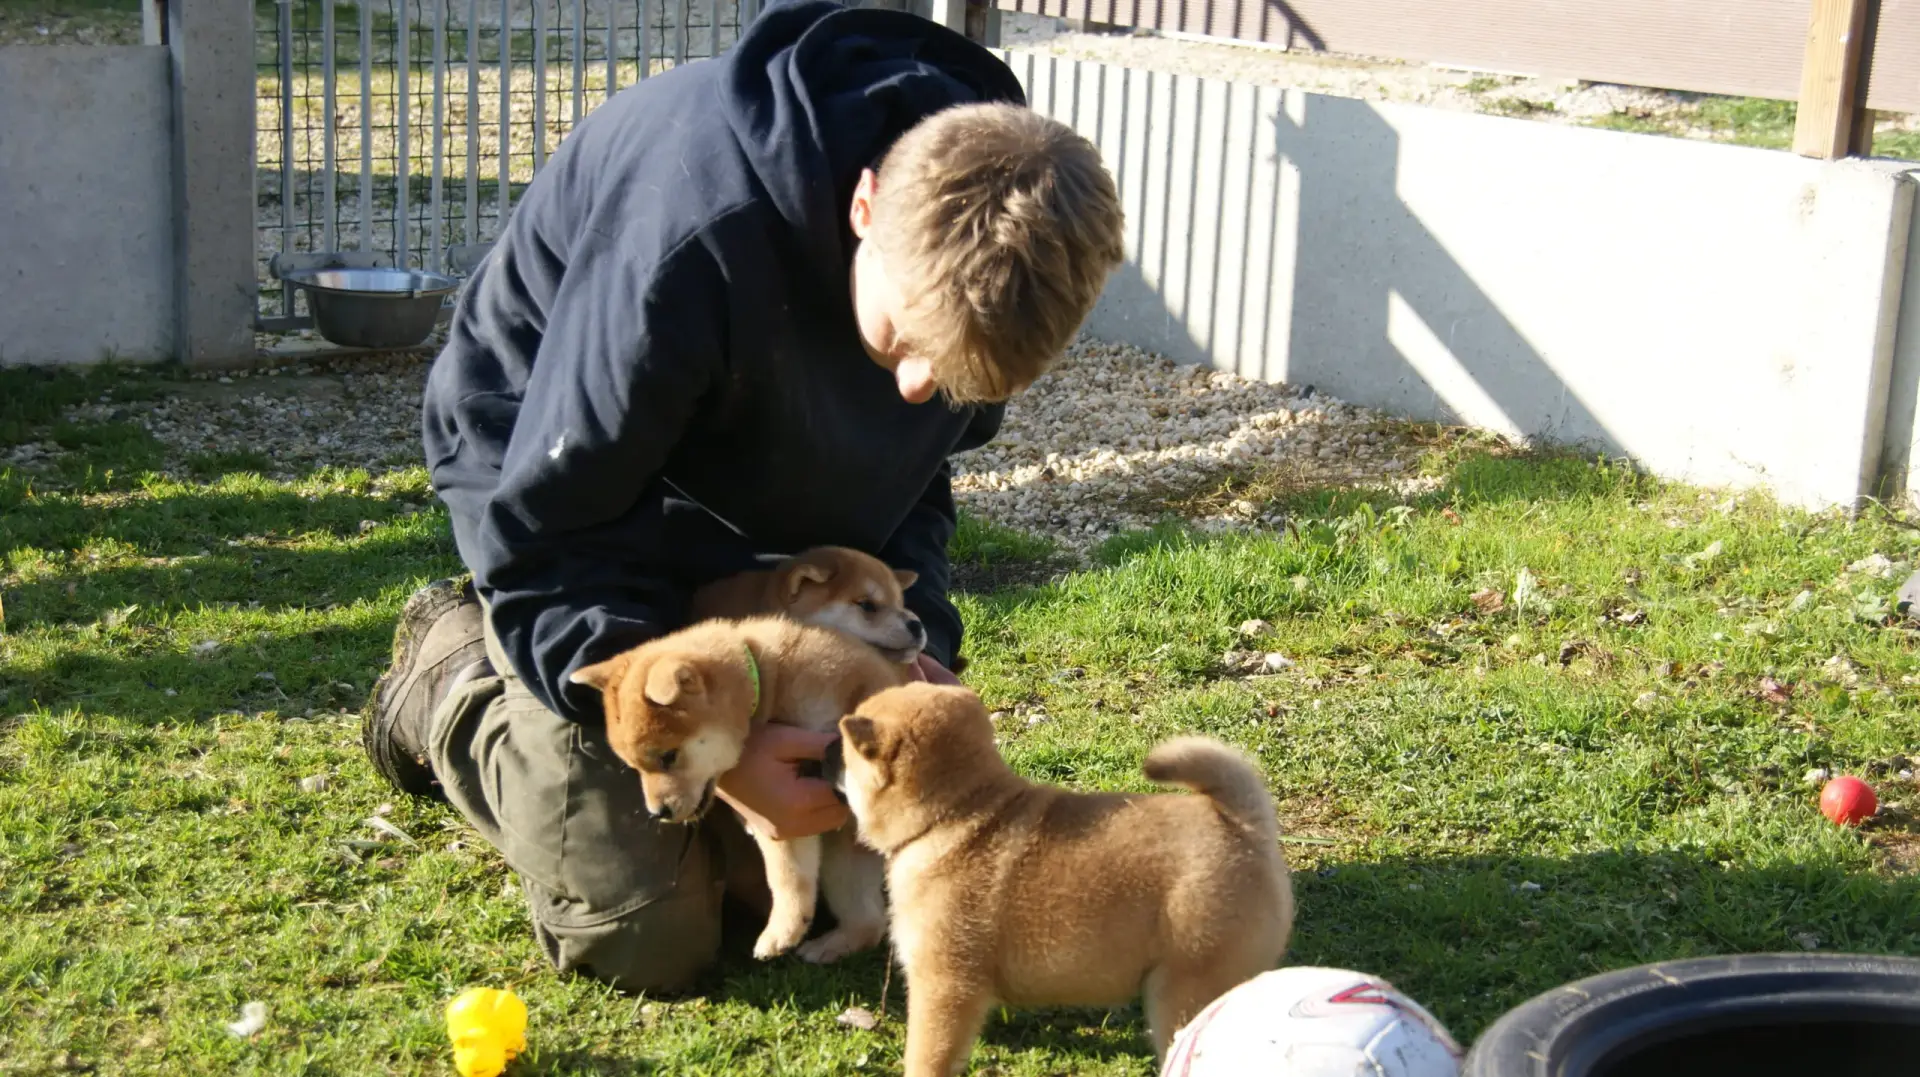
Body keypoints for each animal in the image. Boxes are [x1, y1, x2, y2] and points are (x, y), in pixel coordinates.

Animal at [568, 618, 906, 959]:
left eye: (668, 757)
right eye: (634, 767)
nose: (657, 812)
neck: (769, 683)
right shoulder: (790, 814)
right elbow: (789, 876)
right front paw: (784, 931)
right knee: (869, 920)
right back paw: (833, 945)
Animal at [833, 683, 1297, 1067]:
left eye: (844, 755)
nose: (825, 764)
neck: (955, 814)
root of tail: (1246, 829)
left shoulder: (944, 986)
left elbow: (929, 1055)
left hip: (1184, 989)